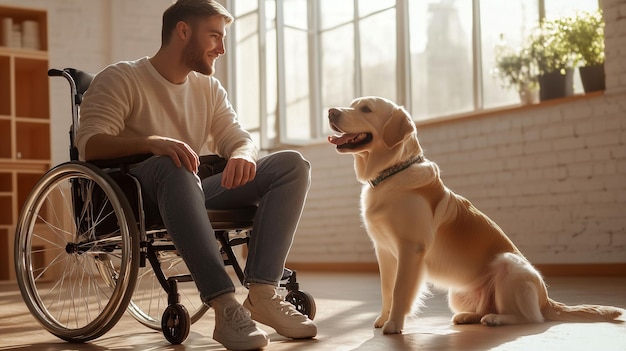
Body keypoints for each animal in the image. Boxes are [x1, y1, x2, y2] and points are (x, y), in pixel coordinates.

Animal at [326, 96, 620, 336]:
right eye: (352, 104)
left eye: (366, 109)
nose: (330, 111)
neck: (392, 173)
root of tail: (547, 300)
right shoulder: (384, 251)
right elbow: (387, 289)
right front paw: (382, 319)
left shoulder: (411, 248)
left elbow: (400, 291)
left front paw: (394, 325)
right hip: (458, 292)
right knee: (491, 311)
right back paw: (470, 316)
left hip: (508, 264)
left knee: (530, 318)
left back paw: (497, 319)